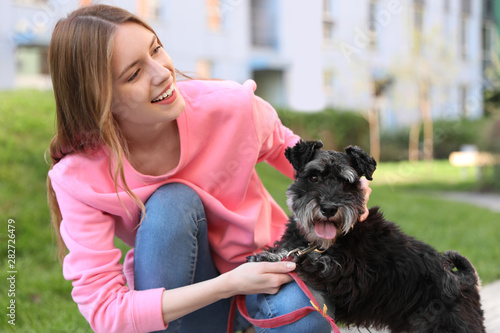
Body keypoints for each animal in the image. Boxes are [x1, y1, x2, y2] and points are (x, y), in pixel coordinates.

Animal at [248, 140, 486, 332]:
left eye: (347, 182)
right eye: (313, 177)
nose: (329, 208)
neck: (319, 242)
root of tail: (463, 279)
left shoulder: (348, 280)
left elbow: (308, 261)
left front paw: (277, 259)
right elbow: (288, 249)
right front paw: (267, 255)